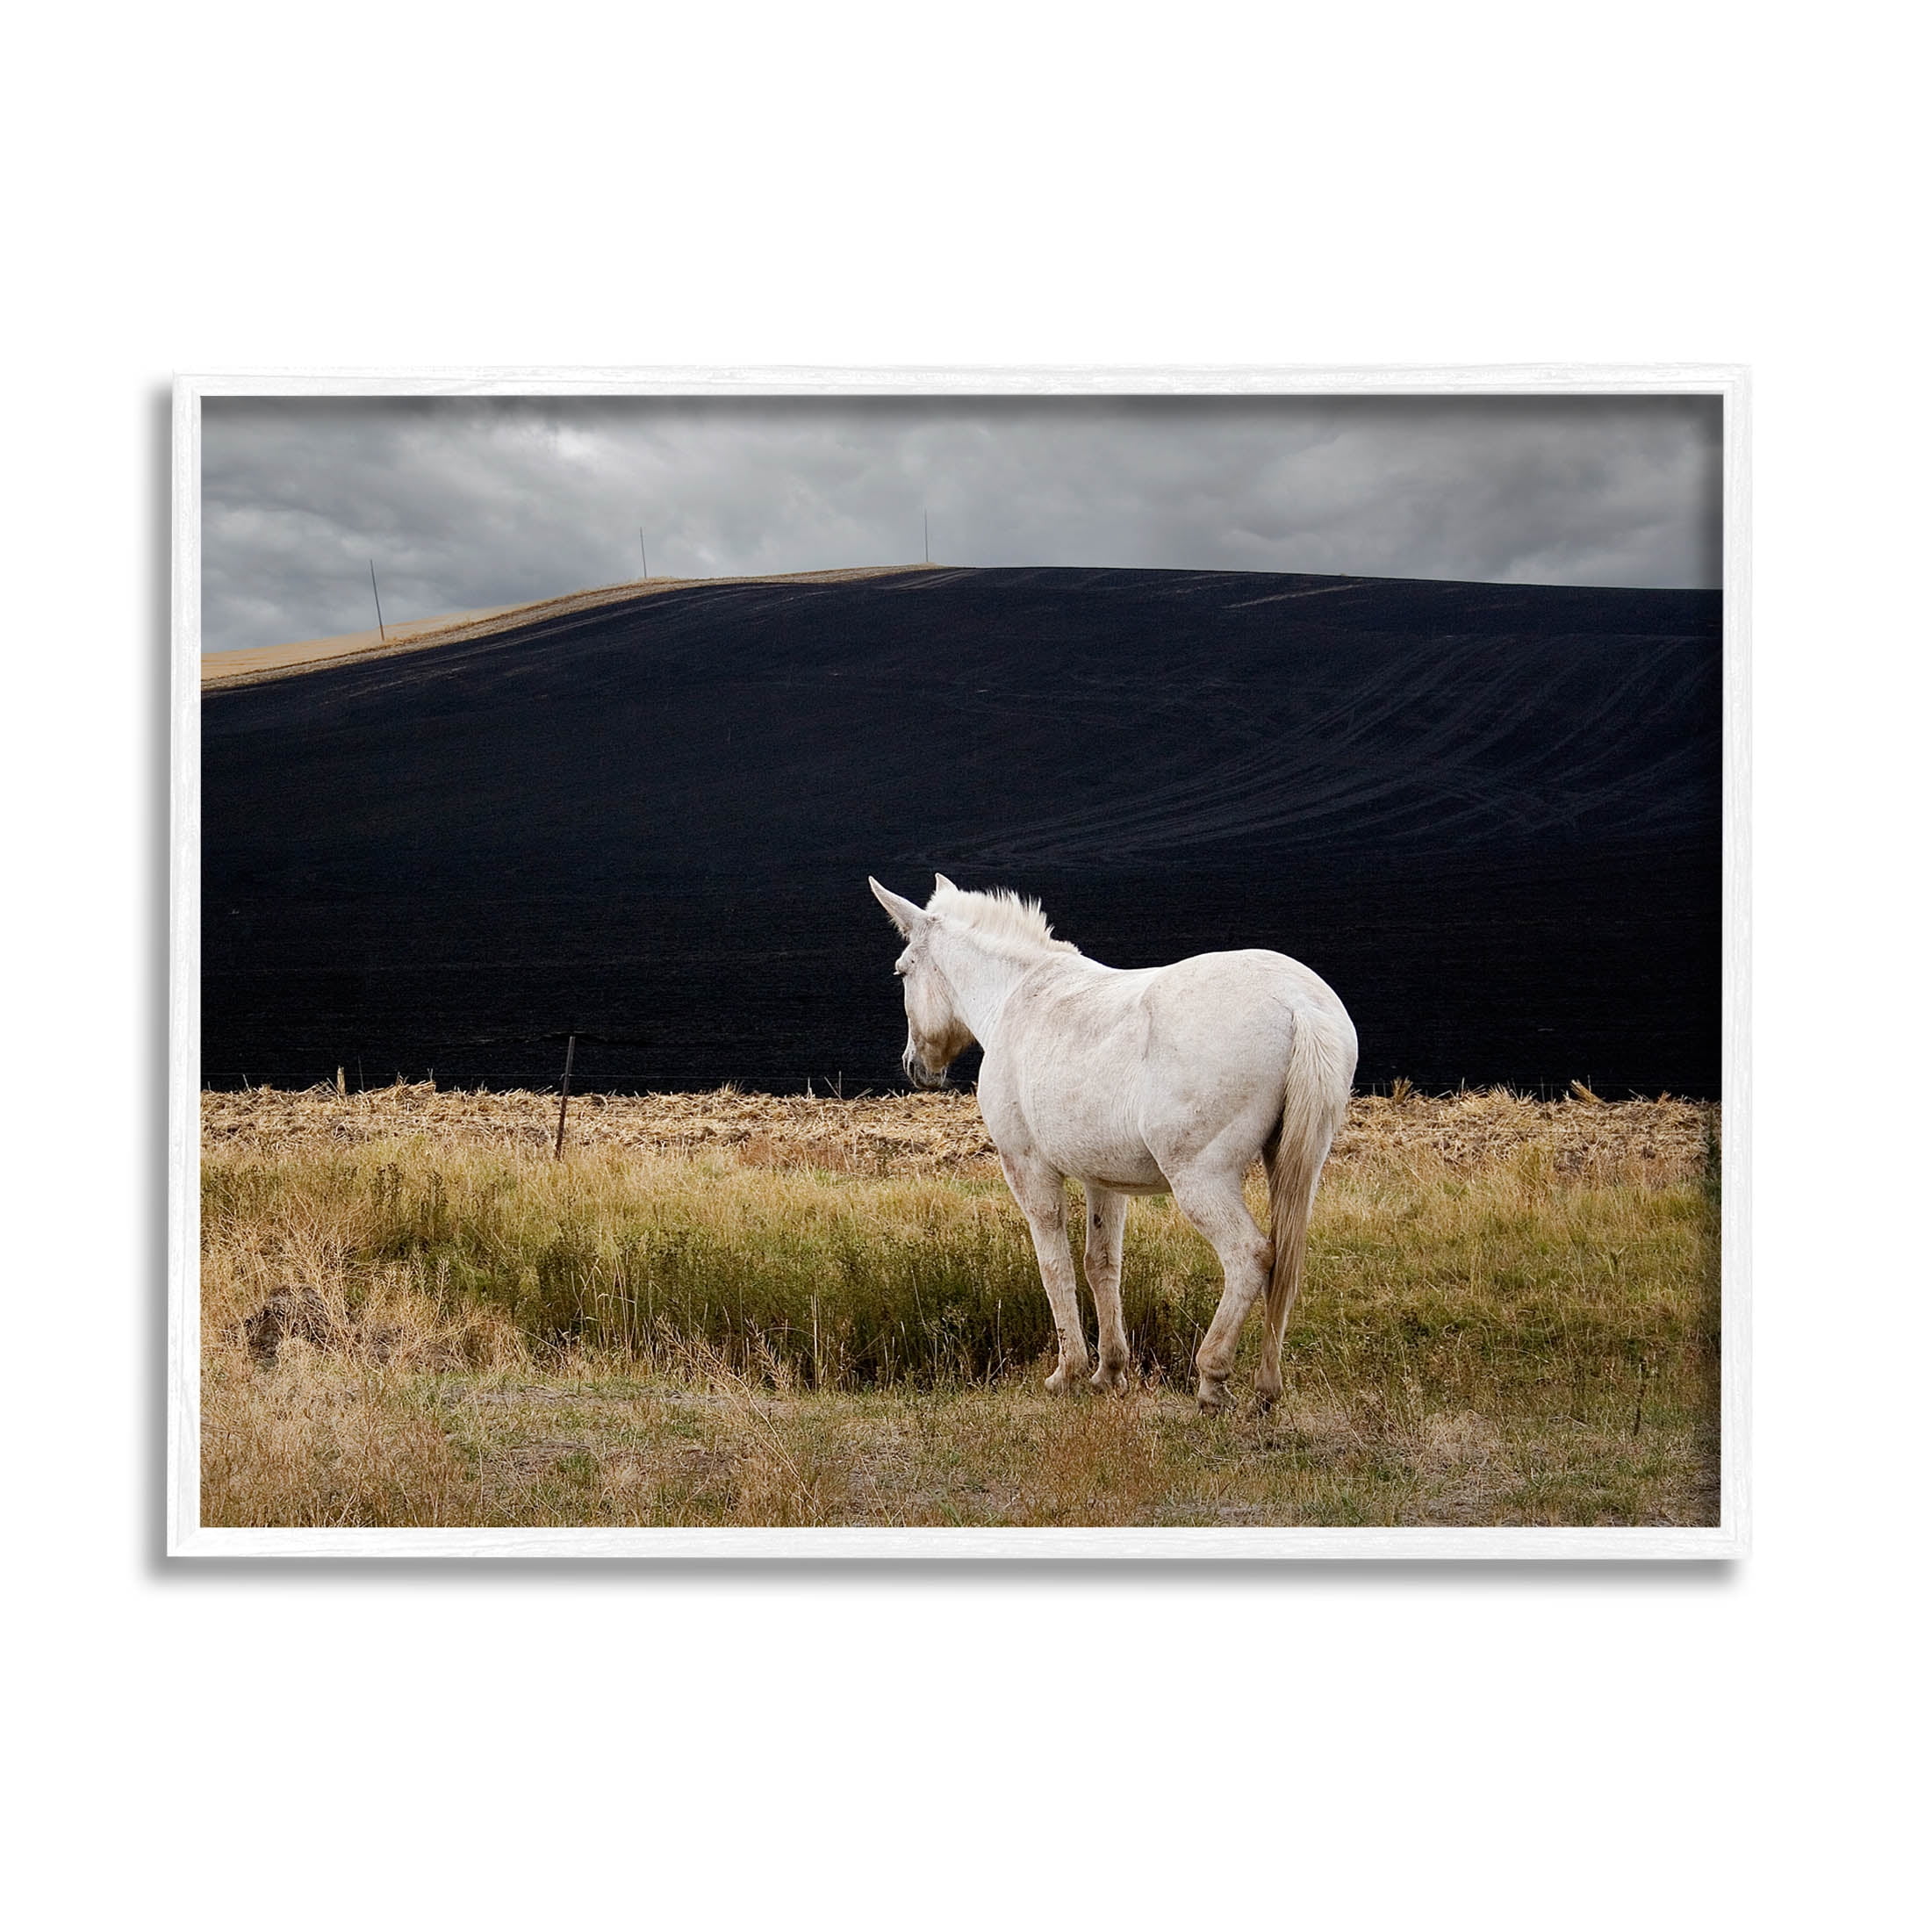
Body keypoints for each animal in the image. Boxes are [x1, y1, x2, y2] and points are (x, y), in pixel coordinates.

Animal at [869, 874, 1357, 1413]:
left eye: (902, 971)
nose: (915, 1066)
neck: (1020, 995)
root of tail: (1298, 1004)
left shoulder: (1028, 1170)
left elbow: (1054, 1264)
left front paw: (1068, 1372)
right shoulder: (1103, 1180)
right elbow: (1101, 1264)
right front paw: (1109, 1372)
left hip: (1202, 1180)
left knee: (1249, 1256)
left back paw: (1212, 1379)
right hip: (1294, 1168)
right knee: (1285, 1262)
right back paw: (1267, 1389)